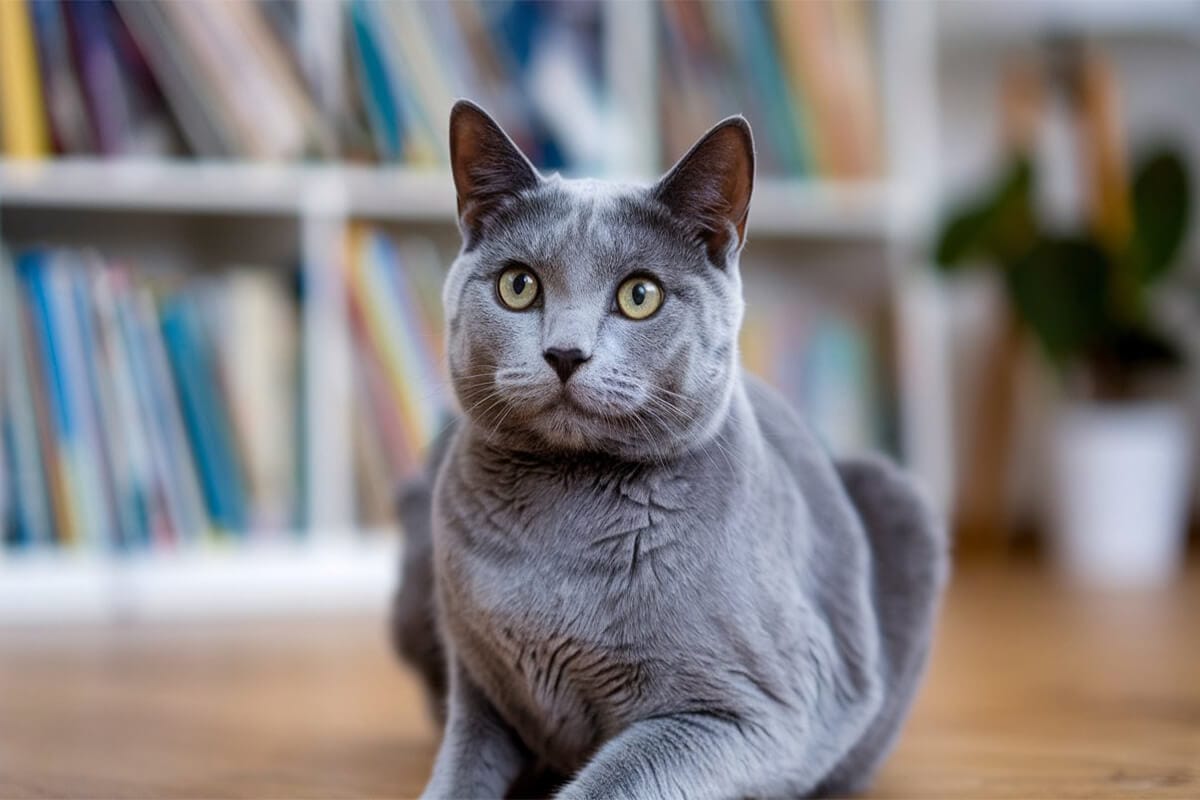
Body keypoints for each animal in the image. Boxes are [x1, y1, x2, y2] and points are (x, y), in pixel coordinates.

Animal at [393, 101, 945, 800]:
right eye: (518, 286)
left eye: (640, 295)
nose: (565, 353)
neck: (561, 529)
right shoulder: (481, 691)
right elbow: (458, 771)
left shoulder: (758, 710)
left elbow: (613, 780)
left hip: (898, 499)